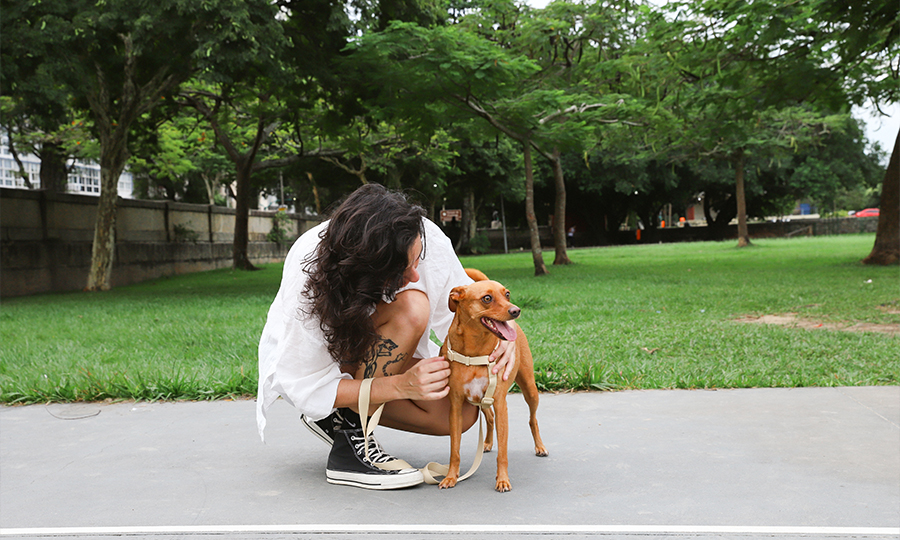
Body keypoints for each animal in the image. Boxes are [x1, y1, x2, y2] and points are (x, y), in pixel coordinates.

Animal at [438, 272, 548, 492]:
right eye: (487, 298)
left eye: (507, 294)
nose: (516, 310)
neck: (475, 351)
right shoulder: (455, 407)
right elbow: (455, 449)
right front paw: (451, 476)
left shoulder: (500, 405)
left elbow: (503, 453)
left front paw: (503, 479)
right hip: (478, 402)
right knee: (489, 418)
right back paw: (487, 443)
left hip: (530, 390)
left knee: (532, 419)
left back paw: (539, 446)